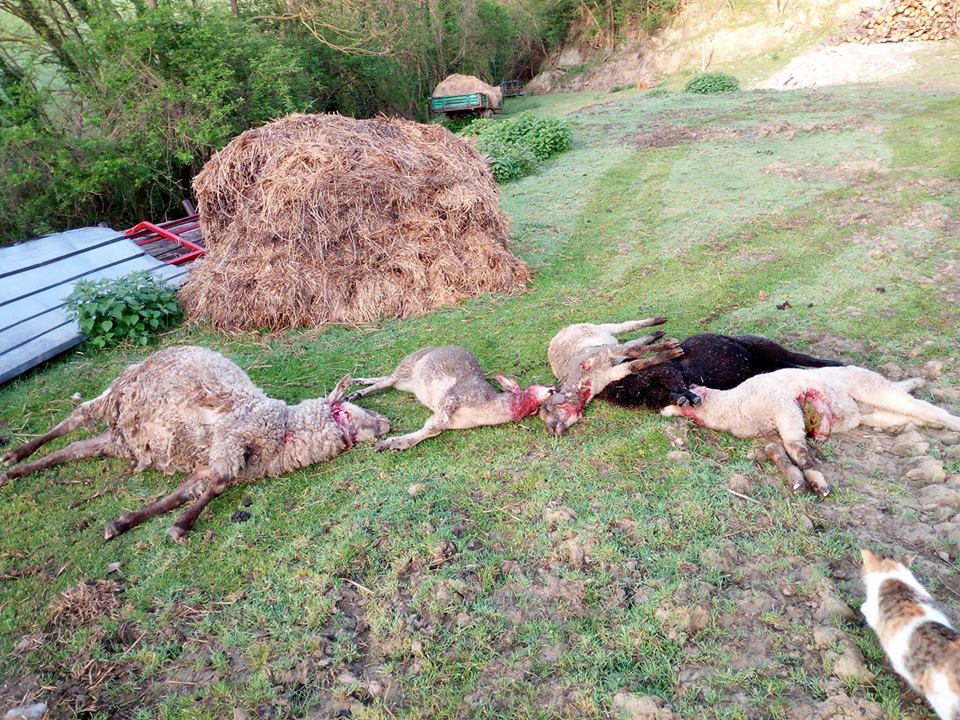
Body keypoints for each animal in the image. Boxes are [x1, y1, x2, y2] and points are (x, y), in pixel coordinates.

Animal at [0, 346, 390, 542]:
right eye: (348, 410)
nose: (387, 423)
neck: (284, 433)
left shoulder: (212, 462)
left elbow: (182, 493)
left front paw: (124, 522)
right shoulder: (232, 440)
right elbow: (219, 485)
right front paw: (181, 527)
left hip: (123, 437)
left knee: (76, 448)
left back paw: (20, 469)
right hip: (122, 390)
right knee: (77, 416)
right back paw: (16, 454)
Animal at [346, 346, 556, 450]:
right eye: (543, 387)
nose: (554, 387)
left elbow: (433, 428)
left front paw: (396, 443)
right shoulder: (454, 396)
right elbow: (436, 424)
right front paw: (389, 443)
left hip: (409, 383)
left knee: (390, 381)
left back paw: (357, 383)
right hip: (410, 361)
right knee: (388, 379)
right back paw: (354, 392)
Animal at [538, 317, 684, 435]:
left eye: (548, 407)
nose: (554, 432)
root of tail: (560, 332)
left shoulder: (605, 351)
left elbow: (635, 351)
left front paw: (671, 349)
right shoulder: (610, 374)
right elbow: (634, 364)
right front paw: (668, 352)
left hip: (602, 329)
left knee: (627, 326)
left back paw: (659, 321)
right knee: (633, 341)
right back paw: (656, 334)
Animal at [598, 333, 845, 410]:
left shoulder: (667, 369)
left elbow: (675, 380)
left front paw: (690, 397)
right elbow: (673, 393)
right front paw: (683, 399)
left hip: (770, 349)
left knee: (803, 358)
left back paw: (837, 364)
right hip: (770, 366)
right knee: (793, 367)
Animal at [661, 365, 960, 496]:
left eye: (684, 397)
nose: (663, 411)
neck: (732, 406)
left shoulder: (785, 410)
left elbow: (796, 447)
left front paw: (818, 482)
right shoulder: (767, 432)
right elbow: (777, 454)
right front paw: (796, 480)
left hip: (871, 387)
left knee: (921, 406)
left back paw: (951, 422)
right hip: (873, 412)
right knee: (911, 412)